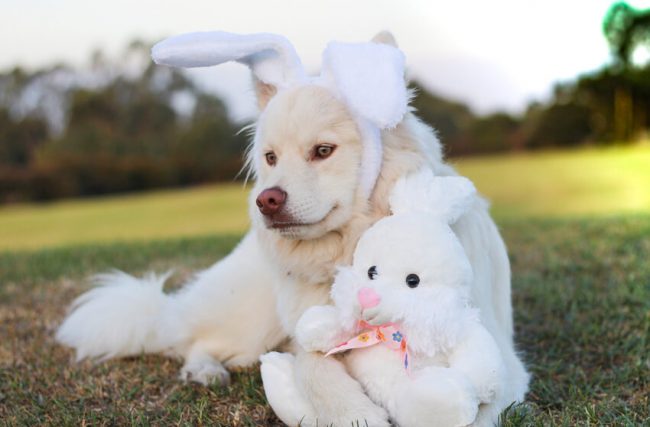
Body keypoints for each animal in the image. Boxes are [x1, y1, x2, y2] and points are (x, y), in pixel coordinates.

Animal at [57, 31, 528, 426]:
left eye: (323, 151)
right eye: (270, 158)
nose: (266, 201)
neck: (343, 253)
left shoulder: (500, 364)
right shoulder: (310, 336)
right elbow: (315, 368)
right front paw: (357, 413)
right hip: (252, 320)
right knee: (193, 342)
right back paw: (205, 371)